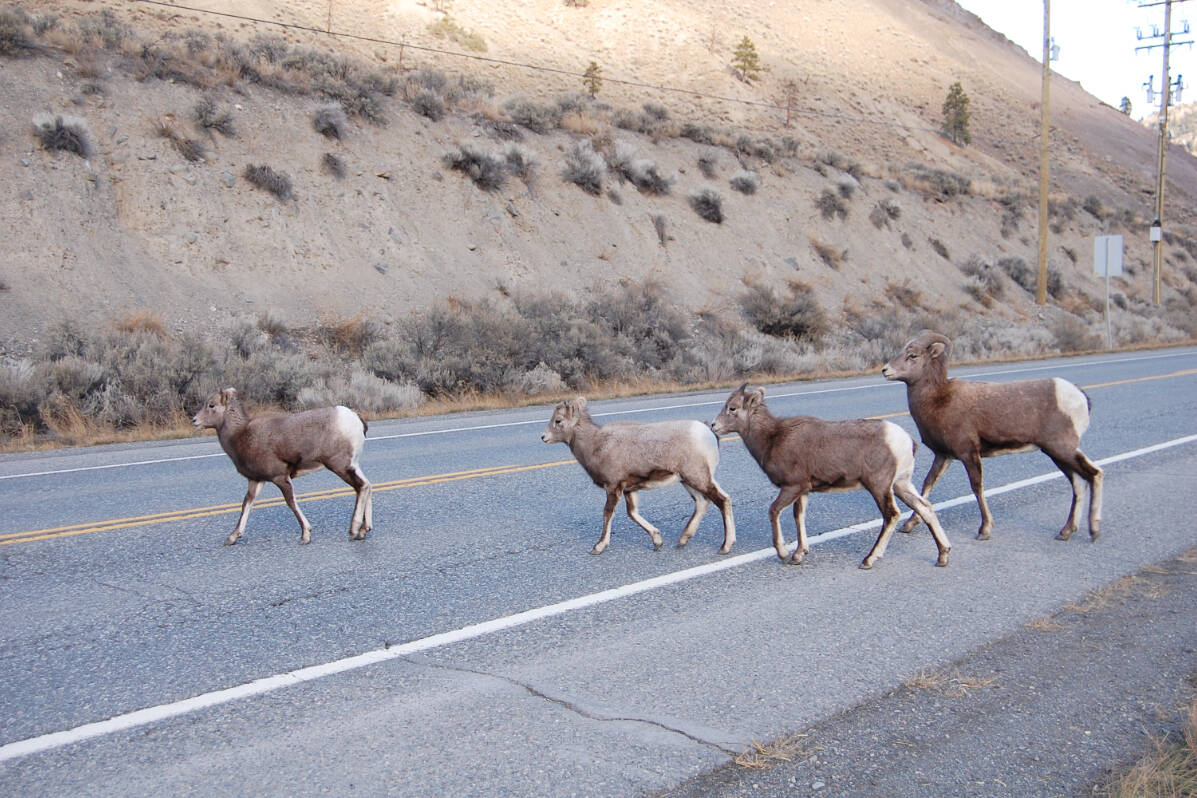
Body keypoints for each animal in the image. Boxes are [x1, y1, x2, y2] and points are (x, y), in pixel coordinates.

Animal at [192, 387, 373, 550]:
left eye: (211, 405)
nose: (194, 420)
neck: (241, 436)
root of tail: (355, 419)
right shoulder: (256, 480)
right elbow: (246, 503)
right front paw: (232, 538)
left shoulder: (280, 478)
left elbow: (291, 502)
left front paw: (305, 536)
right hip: (352, 465)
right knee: (367, 486)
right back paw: (363, 531)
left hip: (339, 465)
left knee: (361, 487)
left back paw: (353, 531)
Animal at [538, 397, 732, 555]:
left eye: (558, 420)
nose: (543, 437)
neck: (595, 444)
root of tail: (708, 433)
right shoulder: (628, 490)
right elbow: (632, 514)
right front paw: (657, 542)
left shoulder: (613, 487)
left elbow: (608, 513)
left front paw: (598, 547)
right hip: (688, 480)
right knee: (702, 502)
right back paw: (682, 540)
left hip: (697, 477)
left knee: (722, 500)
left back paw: (725, 547)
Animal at [703, 380, 948, 567]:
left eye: (732, 408)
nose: (714, 426)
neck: (773, 438)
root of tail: (906, 441)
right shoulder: (803, 490)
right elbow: (799, 516)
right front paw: (799, 554)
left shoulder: (792, 486)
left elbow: (774, 511)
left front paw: (784, 553)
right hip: (901, 484)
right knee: (925, 507)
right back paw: (942, 556)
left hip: (879, 486)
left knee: (892, 515)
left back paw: (868, 560)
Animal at [880, 330, 1101, 543]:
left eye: (912, 355)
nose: (885, 370)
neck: (938, 400)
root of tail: (1080, 396)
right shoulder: (944, 456)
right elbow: (926, 486)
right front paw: (908, 525)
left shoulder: (968, 453)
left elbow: (977, 487)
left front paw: (984, 530)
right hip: (1056, 453)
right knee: (1079, 483)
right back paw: (1066, 532)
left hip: (1062, 449)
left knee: (1094, 474)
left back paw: (1094, 531)